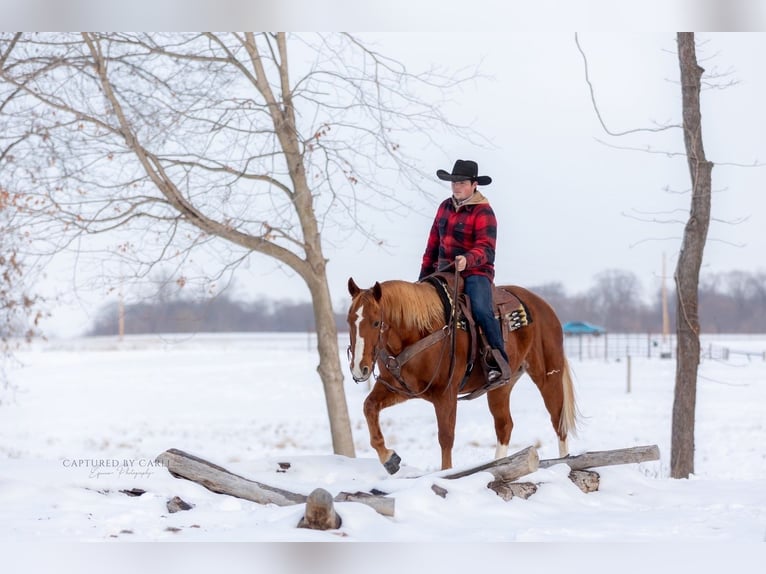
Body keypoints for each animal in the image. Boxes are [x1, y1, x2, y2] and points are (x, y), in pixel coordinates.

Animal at [347, 276, 577, 474]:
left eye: (376, 322)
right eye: (349, 321)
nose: (359, 368)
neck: (421, 332)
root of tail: (543, 305)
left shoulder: (445, 394)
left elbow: (446, 437)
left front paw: (445, 472)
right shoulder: (399, 388)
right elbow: (369, 407)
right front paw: (389, 458)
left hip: (548, 376)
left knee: (558, 421)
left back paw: (563, 463)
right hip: (502, 386)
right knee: (504, 425)